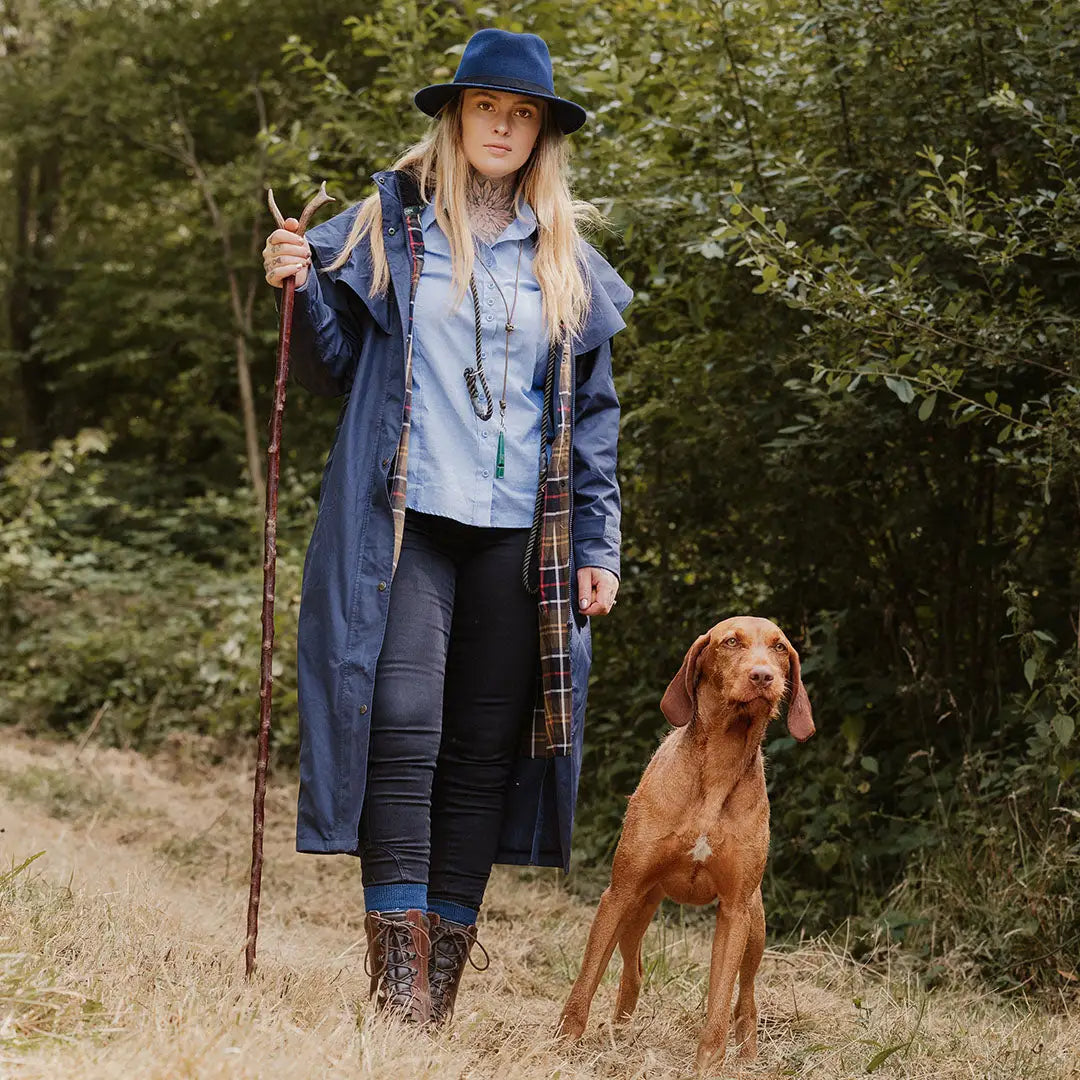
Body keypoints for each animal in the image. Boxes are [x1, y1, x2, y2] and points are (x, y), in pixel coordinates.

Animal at [561, 617, 812, 1071]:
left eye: (780, 648)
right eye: (730, 642)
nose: (764, 676)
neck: (718, 768)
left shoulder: (734, 912)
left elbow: (719, 1002)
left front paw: (708, 1065)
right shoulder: (619, 892)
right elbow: (586, 979)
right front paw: (562, 1045)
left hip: (755, 927)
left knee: (746, 1000)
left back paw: (748, 1053)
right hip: (637, 906)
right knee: (632, 970)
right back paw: (620, 1033)